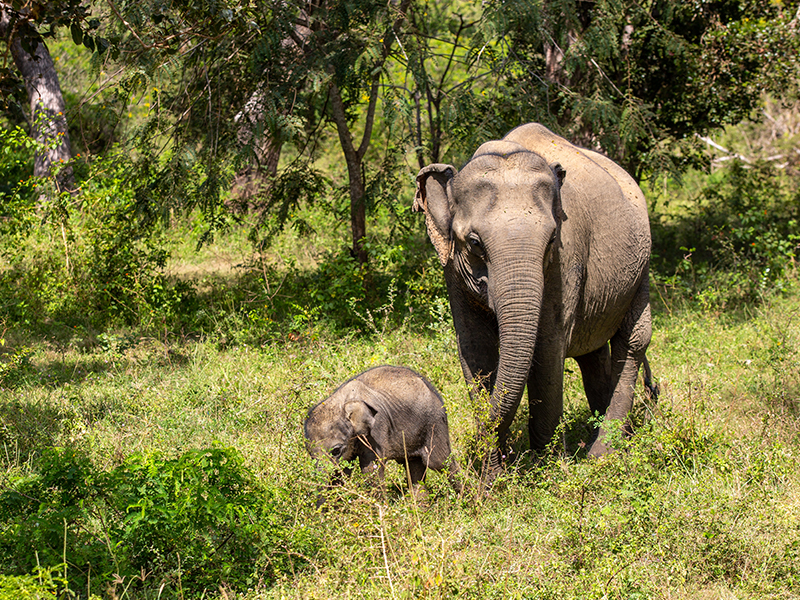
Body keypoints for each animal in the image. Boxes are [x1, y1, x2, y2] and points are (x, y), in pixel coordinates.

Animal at [304, 366, 460, 496]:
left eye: (336, 450)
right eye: (310, 455)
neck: (342, 402)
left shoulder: (376, 429)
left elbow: (370, 470)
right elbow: (341, 473)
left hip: (434, 424)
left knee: (440, 462)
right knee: (414, 466)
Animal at [412, 123, 648, 478]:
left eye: (551, 239)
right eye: (475, 243)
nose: (467, 460)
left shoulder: (564, 263)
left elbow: (548, 348)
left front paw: (545, 471)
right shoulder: (453, 270)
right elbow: (475, 351)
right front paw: (493, 477)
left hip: (642, 266)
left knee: (632, 342)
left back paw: (602, 454)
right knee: (592, 352)